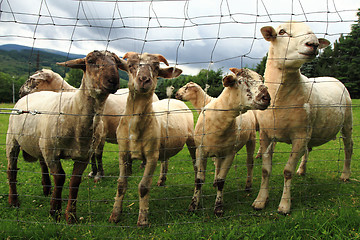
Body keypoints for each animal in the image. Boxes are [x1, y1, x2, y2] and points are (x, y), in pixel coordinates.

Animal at [6, 49, 121, 224]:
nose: (113, 80)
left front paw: (71, 215)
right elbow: (60, 178)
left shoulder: (83, 155)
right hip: (12, 140)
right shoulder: (51, 152)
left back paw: (46, 188)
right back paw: (14, 200)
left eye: (116, 62)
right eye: (90, 61)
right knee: (12, 170)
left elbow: (74, 181)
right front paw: (55, 211)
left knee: (41, 164)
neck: (73, 106)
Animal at [18, 68, 159, 181]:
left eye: (31, 79)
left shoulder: (101, 132)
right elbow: (91, 155)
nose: (19, 93)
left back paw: (143, 164)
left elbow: (97, 154)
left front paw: (99, 174)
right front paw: (93, 172)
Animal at [108, 52, 195, 227]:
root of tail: (173, 99)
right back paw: (162, 179)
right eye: (130, 65)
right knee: (165, 160)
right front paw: (115, 215)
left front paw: (142, 219)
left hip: (191, 140)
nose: (143, 79)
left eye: (156, 68)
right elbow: (121, 184)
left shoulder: (151, 156)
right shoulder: (123, 153)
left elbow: (143, 187)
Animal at [188, 67, 270, 216]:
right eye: (240, 81)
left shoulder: (230, 153)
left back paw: (248, 185)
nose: (267, 98)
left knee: (249, 163)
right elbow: (199, 180)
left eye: (261, 80)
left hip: (251, 140)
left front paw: (218, 207)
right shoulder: (200, 151)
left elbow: (222, 181)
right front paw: (193, 205)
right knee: (218, 165)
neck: (219, 120)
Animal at [252, 21, 352, 215]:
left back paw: (345, 174)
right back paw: (302, 169)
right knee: (308, 150)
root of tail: (333, 78)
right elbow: (265, 170)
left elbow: (287, 171)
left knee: (348, 146)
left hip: (347, 122)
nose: (313, 44)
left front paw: (284, 205)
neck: (280, 98)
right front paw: (260, 200)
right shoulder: (266, 135)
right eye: (282, 32)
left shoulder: (299, 135)